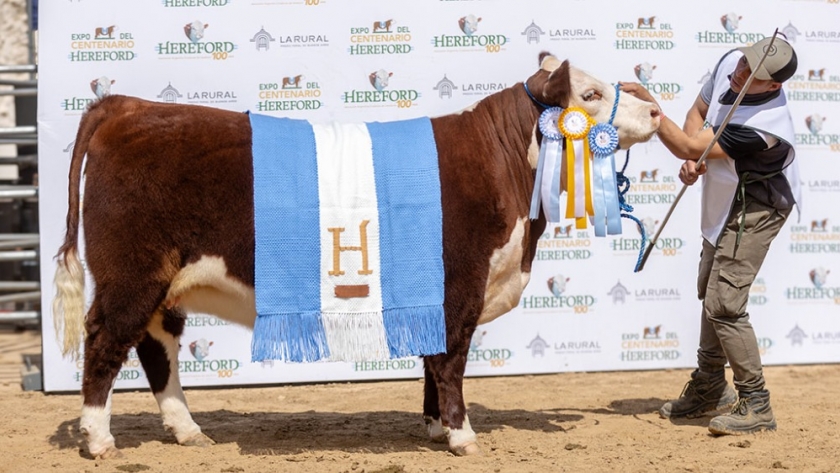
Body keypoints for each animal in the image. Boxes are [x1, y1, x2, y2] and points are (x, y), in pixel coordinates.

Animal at [54, 51, 664, 458]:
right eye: (589, 95)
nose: (656, 113)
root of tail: (124, 106)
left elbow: (431, 358)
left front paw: (435, 427)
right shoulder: (458, 284)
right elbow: (450, 358)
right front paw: (462, 435)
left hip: (164, 281)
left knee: (157, 347)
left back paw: (187, 431)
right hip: (131, 272)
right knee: (106, 340)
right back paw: (99, 439)